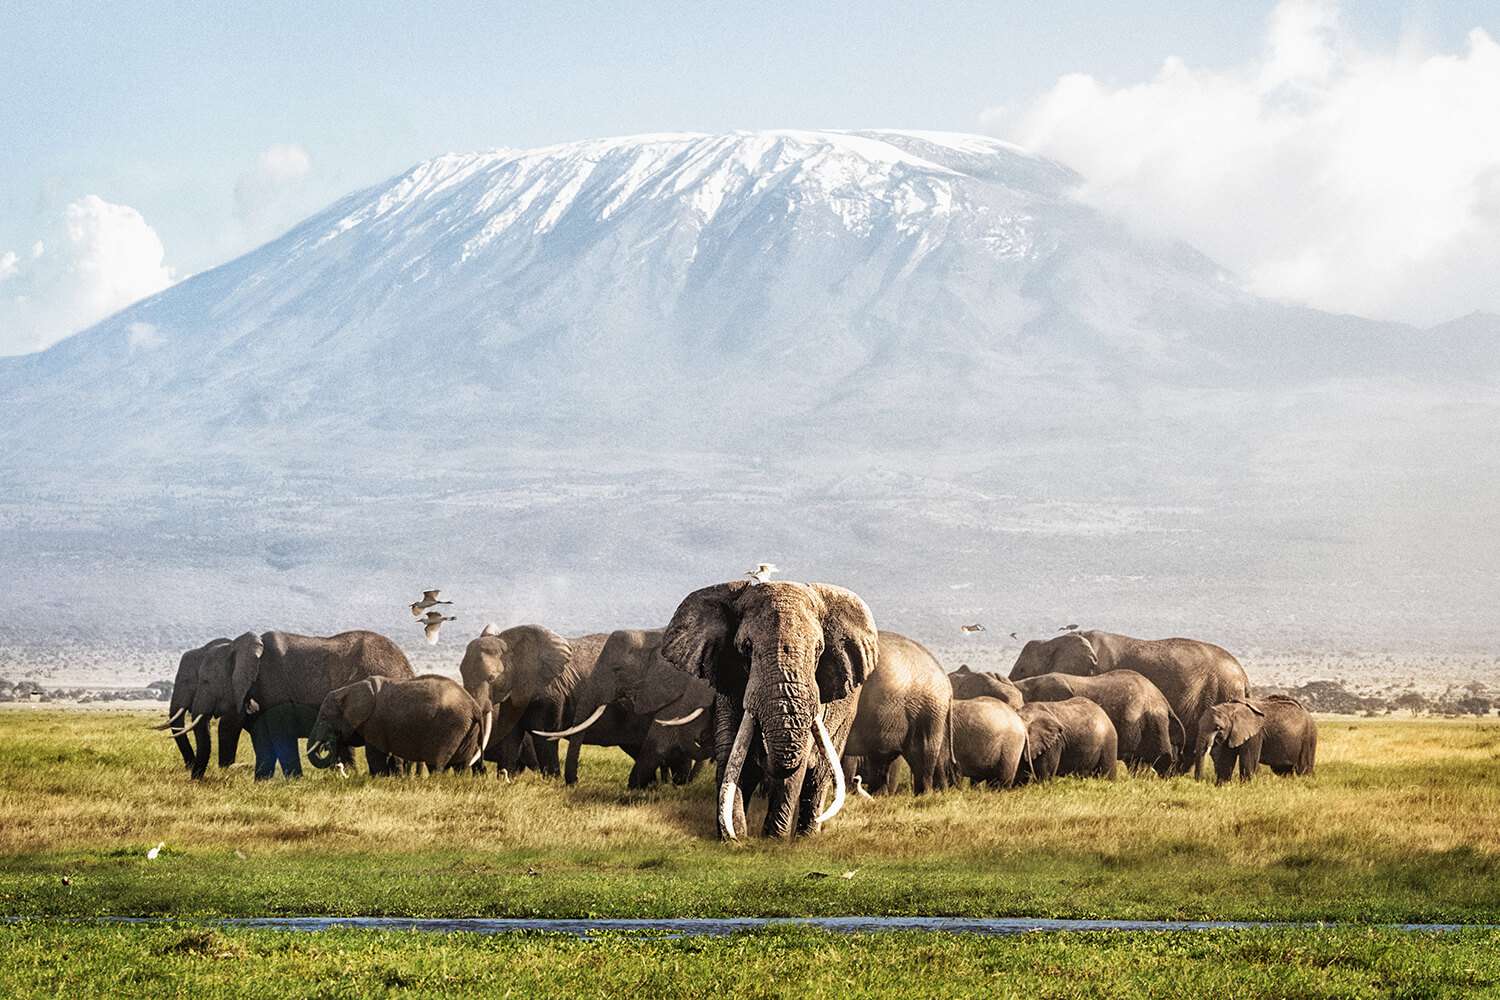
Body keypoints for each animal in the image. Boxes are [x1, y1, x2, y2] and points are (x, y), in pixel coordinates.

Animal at [154, 630, 414, 778]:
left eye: (205, 681)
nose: (194, 777)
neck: (238, 647)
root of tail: (406, 666)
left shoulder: (273, 689)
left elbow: (280, 734)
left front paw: (293, 781)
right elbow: (261, 737)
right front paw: (261, 781)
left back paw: (389, 778)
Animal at [308, 675, 490, 774]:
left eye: (324, 717)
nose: (326, 745)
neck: (349, 689)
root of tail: (474, 706)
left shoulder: (375, 721)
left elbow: (375, 754)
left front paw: (378, 778)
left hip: (449, 726)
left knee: (436, 761)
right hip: (467, 726)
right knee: (462, 763)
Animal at [457, 625, 609, 778]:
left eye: (492, 678)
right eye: (461, 673)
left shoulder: (551, 692)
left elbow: (544, 736)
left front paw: (552, 780)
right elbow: (511, 737)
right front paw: (506, 779)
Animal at [659, 579, 878, 840]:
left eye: (818, 650)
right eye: (746, 648)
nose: (736, 837)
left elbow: (796, 765)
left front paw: (773, 840)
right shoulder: (728, 684)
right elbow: (732, 753)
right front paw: (734, 838)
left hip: (845, 718)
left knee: (819, 775)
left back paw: (806, 838)